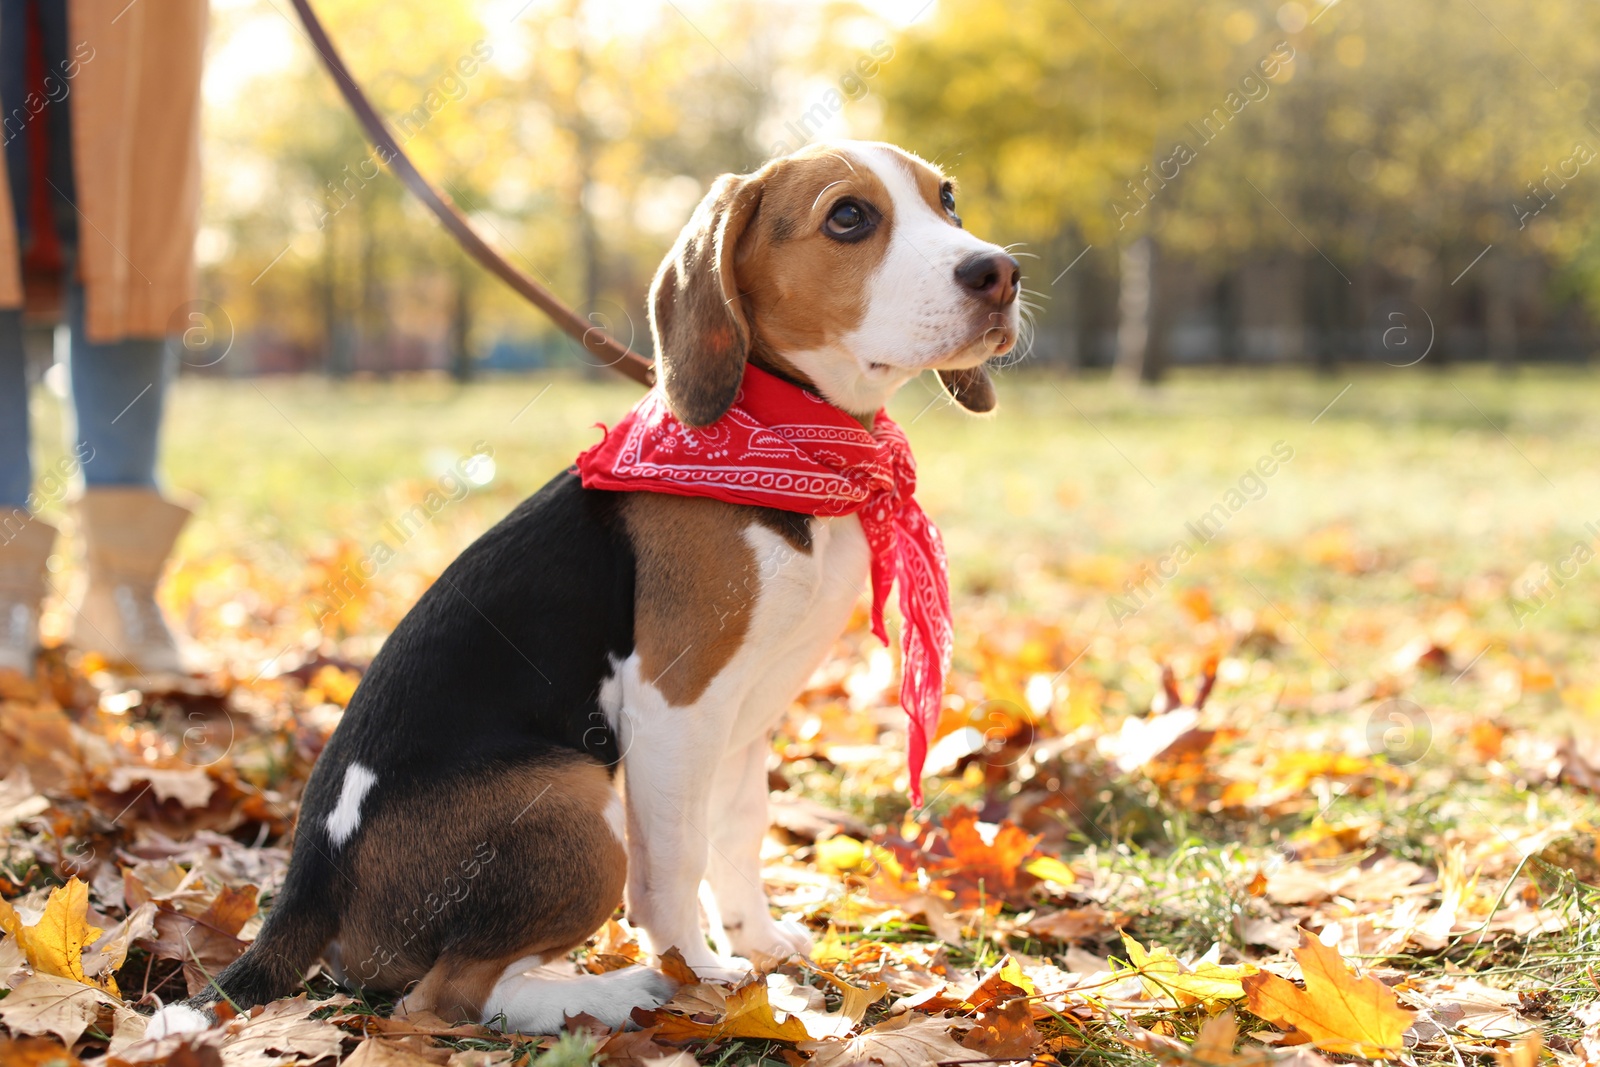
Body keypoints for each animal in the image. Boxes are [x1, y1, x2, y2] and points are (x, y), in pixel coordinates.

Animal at [152, 137, 1024, 1036]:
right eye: (848, 217)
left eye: (947, 200)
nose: (998, 273)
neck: (797, 439)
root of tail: (307, 886)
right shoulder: (678, 700)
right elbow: (676, 861)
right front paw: (701, 972)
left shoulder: (749, 709)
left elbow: (738, 833)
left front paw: (757, 942)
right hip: (571, 797)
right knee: (447, 996)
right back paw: (619, 992)